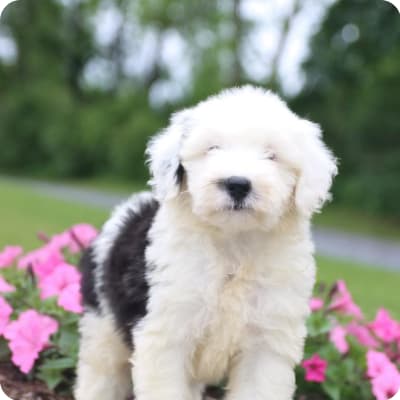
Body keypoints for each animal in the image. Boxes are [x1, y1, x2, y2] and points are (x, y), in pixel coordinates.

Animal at [74, 86, 338, 400]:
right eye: (212, 148)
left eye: (271, 155)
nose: (238, 184)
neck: (234, 245)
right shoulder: (166, 331)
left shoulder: (267, 341)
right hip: (102, 320)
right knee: (100, 371)